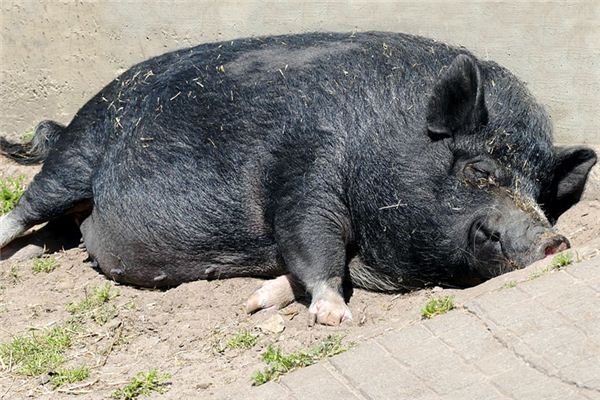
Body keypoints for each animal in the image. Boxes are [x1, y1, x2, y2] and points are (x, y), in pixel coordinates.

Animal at [1, 32, 596, 324]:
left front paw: (255, 302)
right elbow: (312, 241)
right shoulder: (304, 168)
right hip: (80, 153)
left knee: (57, 231)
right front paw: (335, 318)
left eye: (541, 196)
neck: (381, 139)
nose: (553, 239)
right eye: (479, 170)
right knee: (29, 205)